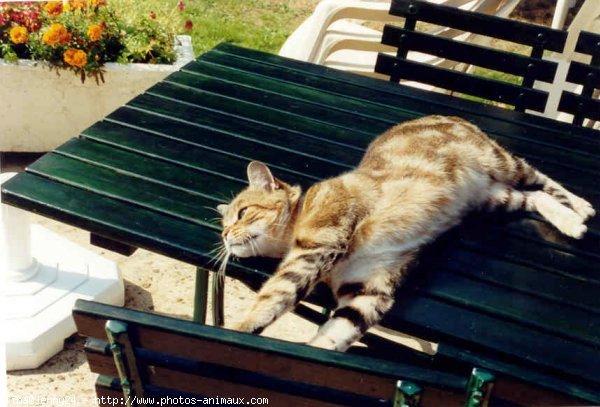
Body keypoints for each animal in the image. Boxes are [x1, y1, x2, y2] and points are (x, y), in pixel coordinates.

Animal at [217, 115, 596, 354]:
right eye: (223, 226)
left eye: (243, 212)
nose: (225, 236)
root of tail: (450, 114)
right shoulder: (367, 291)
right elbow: (334, 336)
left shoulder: (316, 247)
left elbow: (273, 297)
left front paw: (238, 330)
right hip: (493, 198)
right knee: (534, 197)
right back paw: (569, 220)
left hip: (501, 163)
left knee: (544, 180)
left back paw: (581, 208)